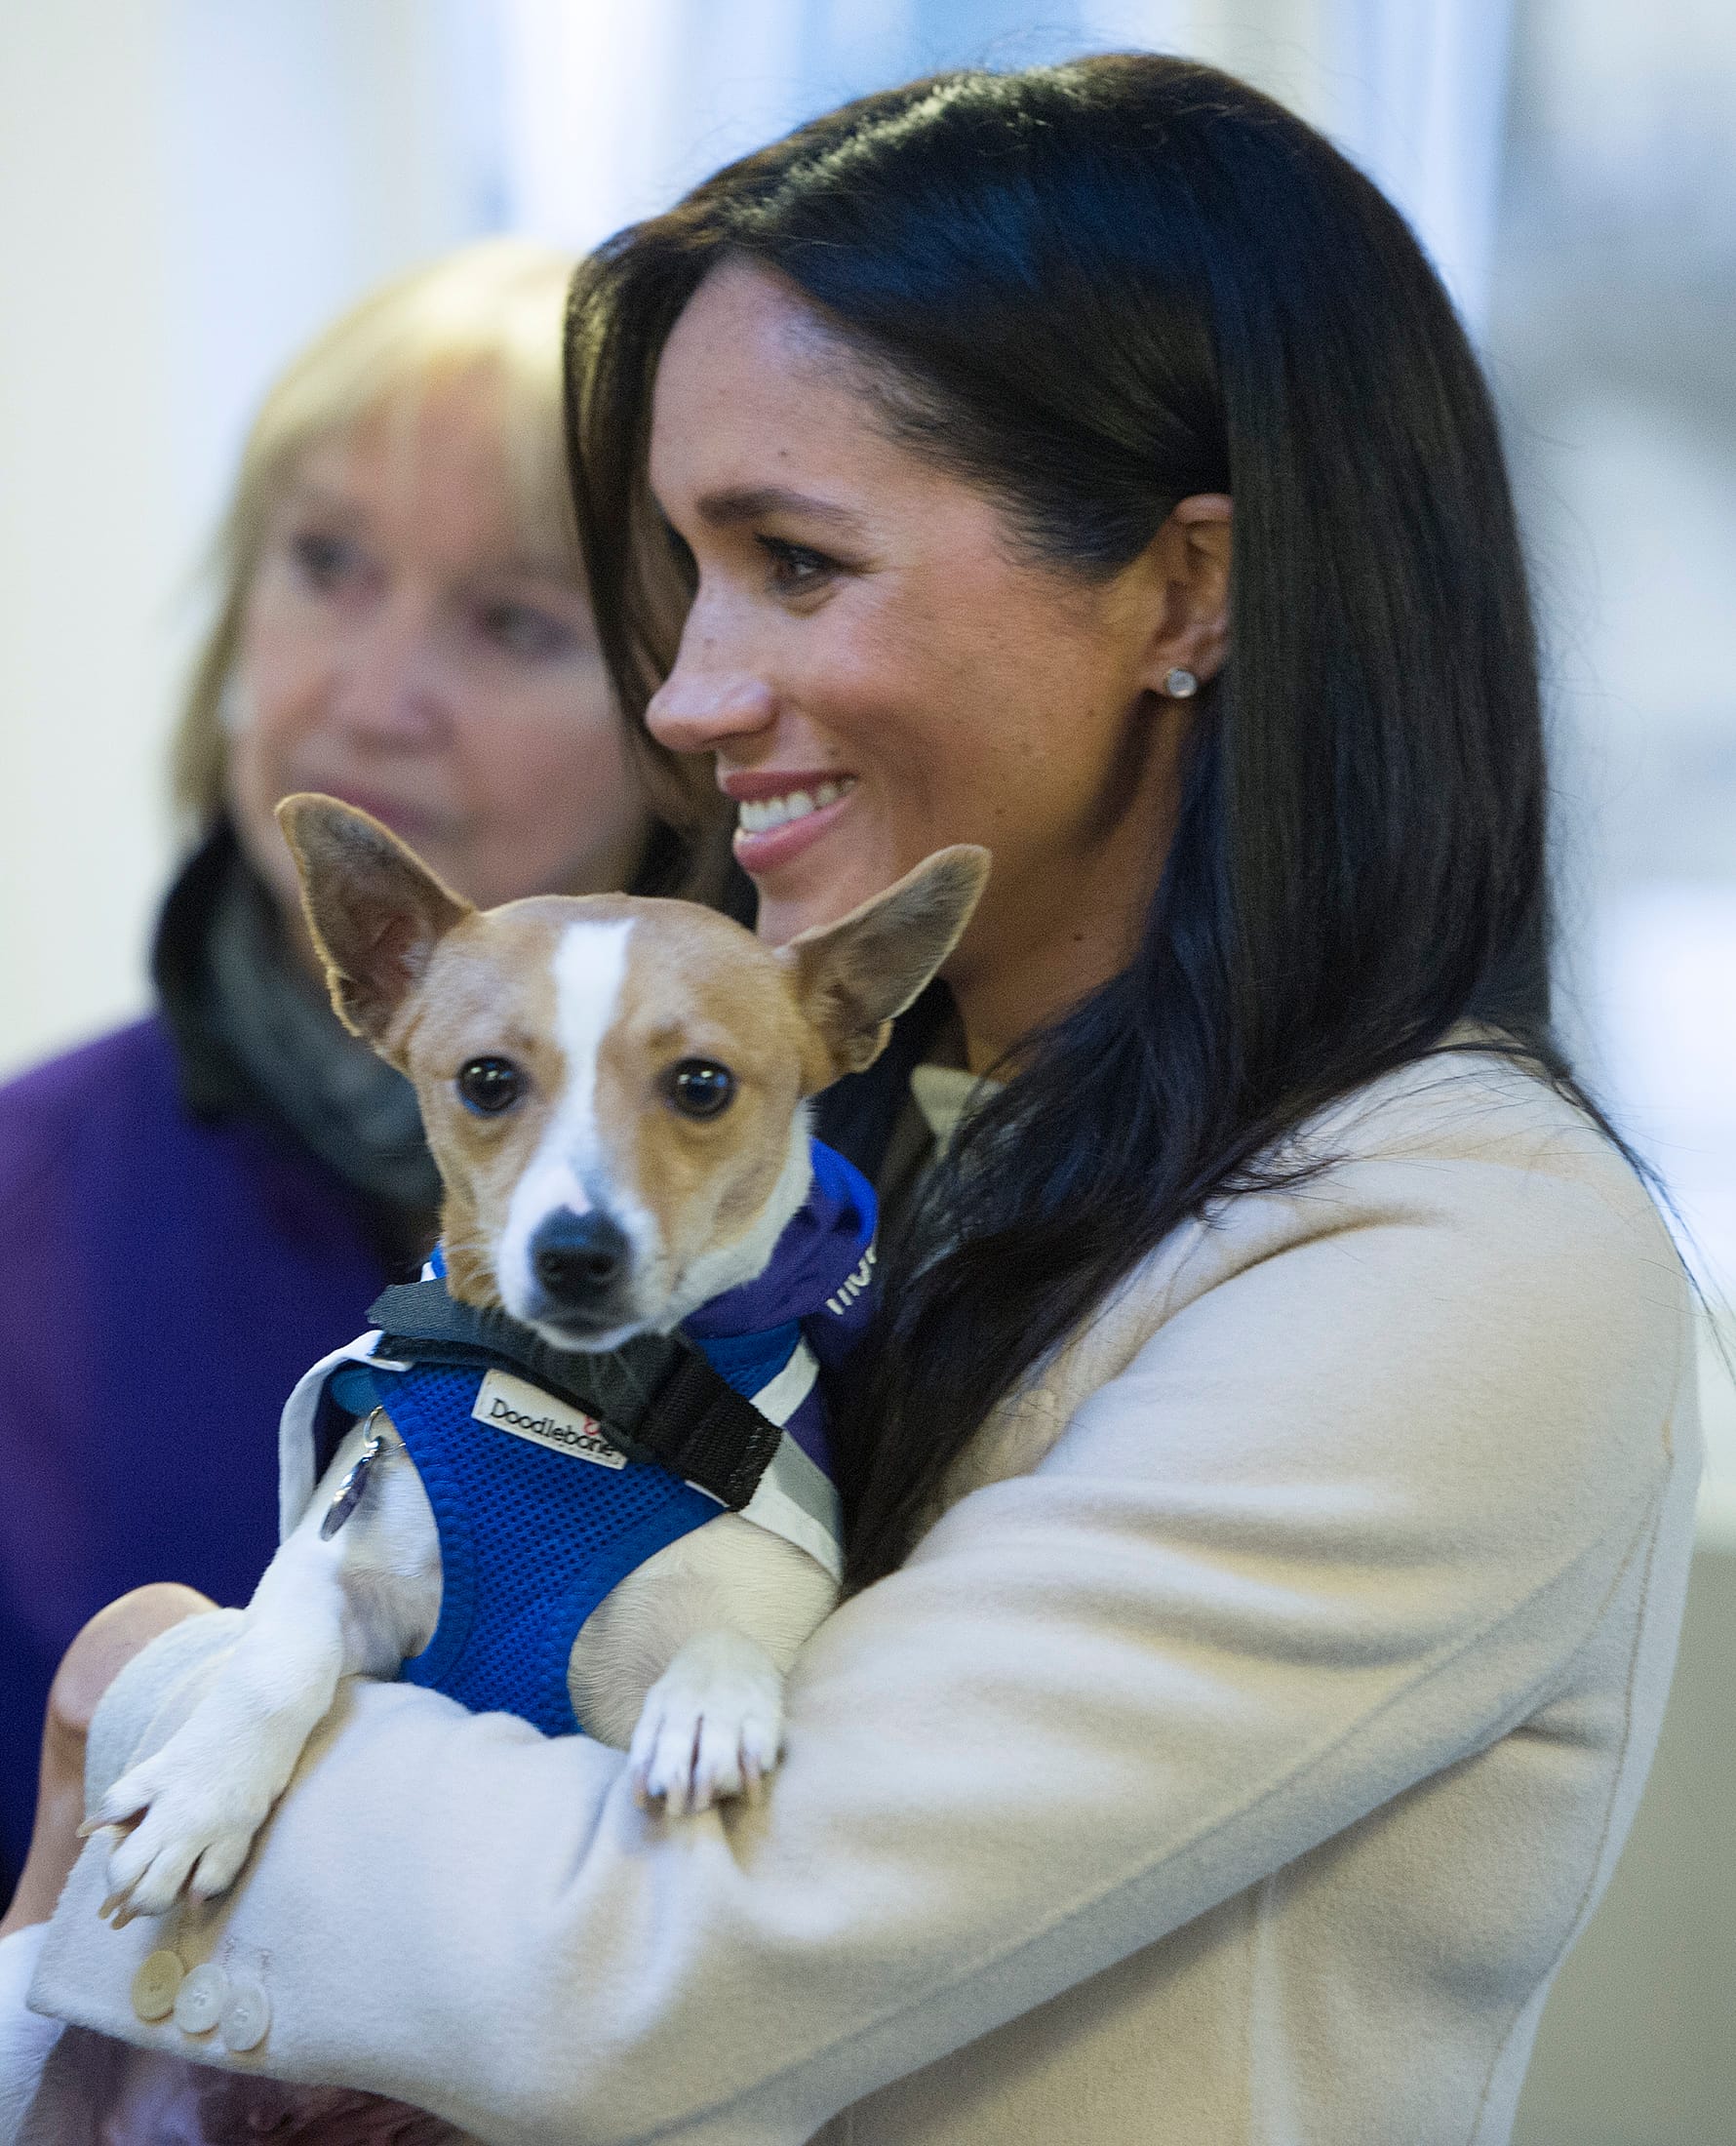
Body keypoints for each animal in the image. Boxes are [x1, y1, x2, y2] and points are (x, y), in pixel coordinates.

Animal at [91, 798, 987, 1923]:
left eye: (702, 1084)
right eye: (487, 1080)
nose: (575, 1252)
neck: (574, 1399)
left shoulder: (766, 1608)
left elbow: (730, 1638)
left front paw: (708, 1705)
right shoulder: (338, 1569)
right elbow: (275, 1659)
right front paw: (202, 1793)